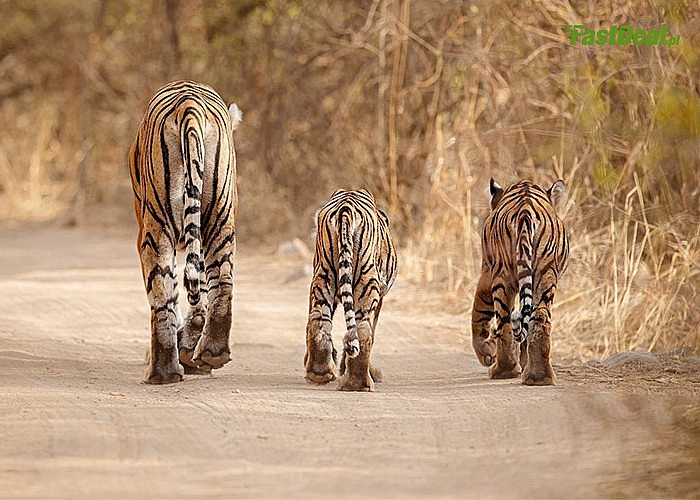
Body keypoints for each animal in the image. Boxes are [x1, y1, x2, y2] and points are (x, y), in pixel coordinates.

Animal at [130, 80, 242, 384]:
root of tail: (188, 103)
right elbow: (200, 290)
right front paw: (192, 350)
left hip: (155, 230)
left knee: (160, 294)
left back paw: (162, 371)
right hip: (220, 218)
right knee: (222, 281)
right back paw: (212, 352)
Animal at [304, 188, 396, 390]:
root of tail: (346, 206)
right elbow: (371, 330)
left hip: (324, 277)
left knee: (318, 321)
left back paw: (320, 373)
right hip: (367, 283)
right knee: (363, 330)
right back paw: (358, 383)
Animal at [470, 178, 568, 384]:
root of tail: (525, 210)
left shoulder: (486, 272)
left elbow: (479, 310)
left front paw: (486, 353)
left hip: (502, 275)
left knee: (505, 321)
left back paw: (502, 370)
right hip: (545, 275)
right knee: (539, 319)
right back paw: (539, 377)